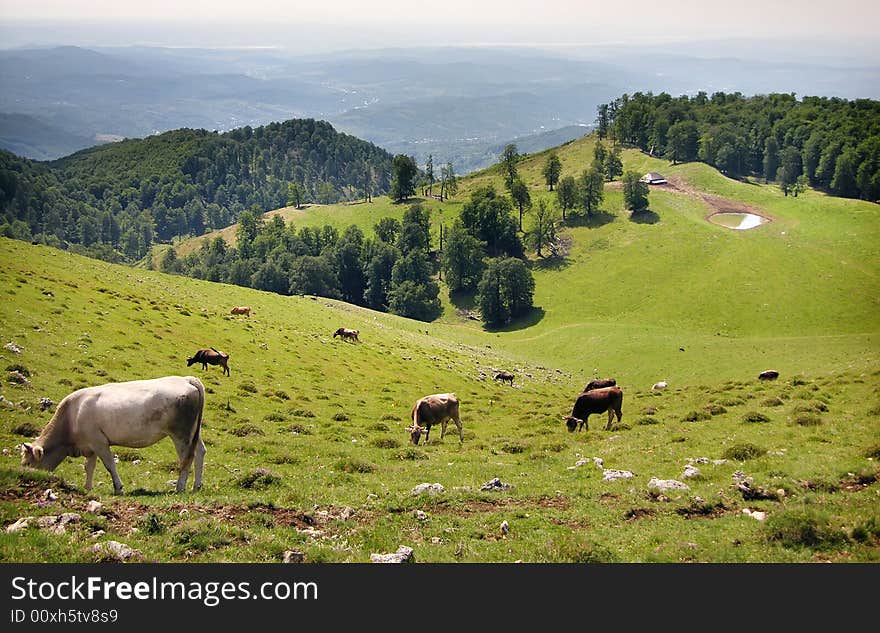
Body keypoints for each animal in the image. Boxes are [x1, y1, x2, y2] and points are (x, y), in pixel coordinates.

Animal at [21, 376, 208, 494]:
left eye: (27, 462)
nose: (26, 477)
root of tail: (186, 379)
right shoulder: (90, 445)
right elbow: (89, 467)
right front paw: (88, 487)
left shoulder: (99, 441)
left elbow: (110, 464)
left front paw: (118, 487)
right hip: (194, 432)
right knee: (200, 452)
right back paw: (196, 486)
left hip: (181, 434)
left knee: (186, 458)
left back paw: (180, 487)